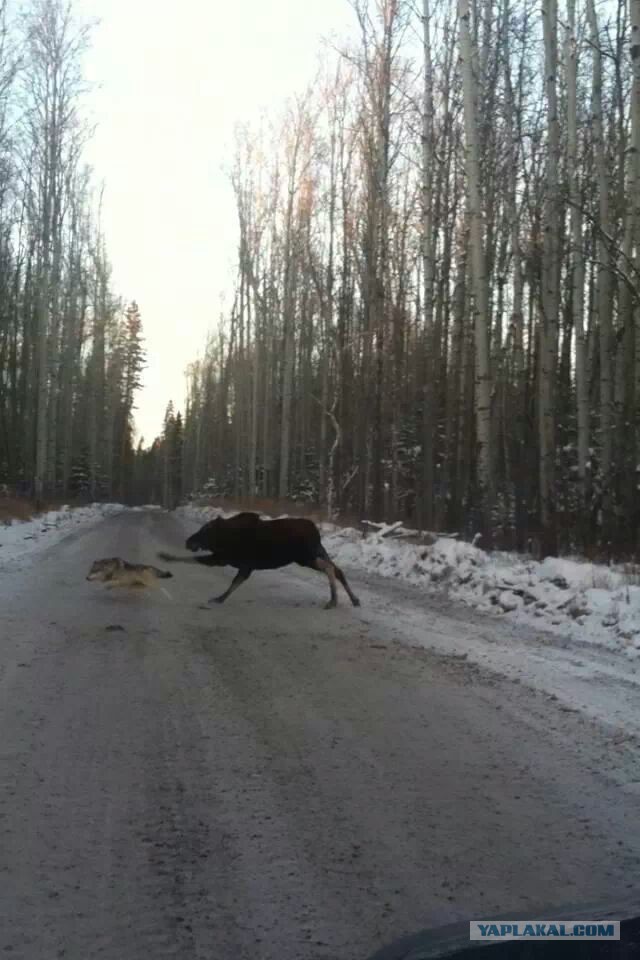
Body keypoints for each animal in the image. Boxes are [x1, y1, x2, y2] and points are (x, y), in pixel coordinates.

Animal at [158, 510, 360, 608]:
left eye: (206, 529)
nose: (188, 541)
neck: (223, 538)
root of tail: (316, 531)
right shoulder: (241, 565)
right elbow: (234, 583)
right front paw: (220, 598)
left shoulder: (225, 559)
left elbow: (195, 560)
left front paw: (166, 557)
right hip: (316, 552)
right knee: (338, 570)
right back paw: (353, 599)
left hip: (305, 557)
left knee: (330, 568)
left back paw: (333, 600)